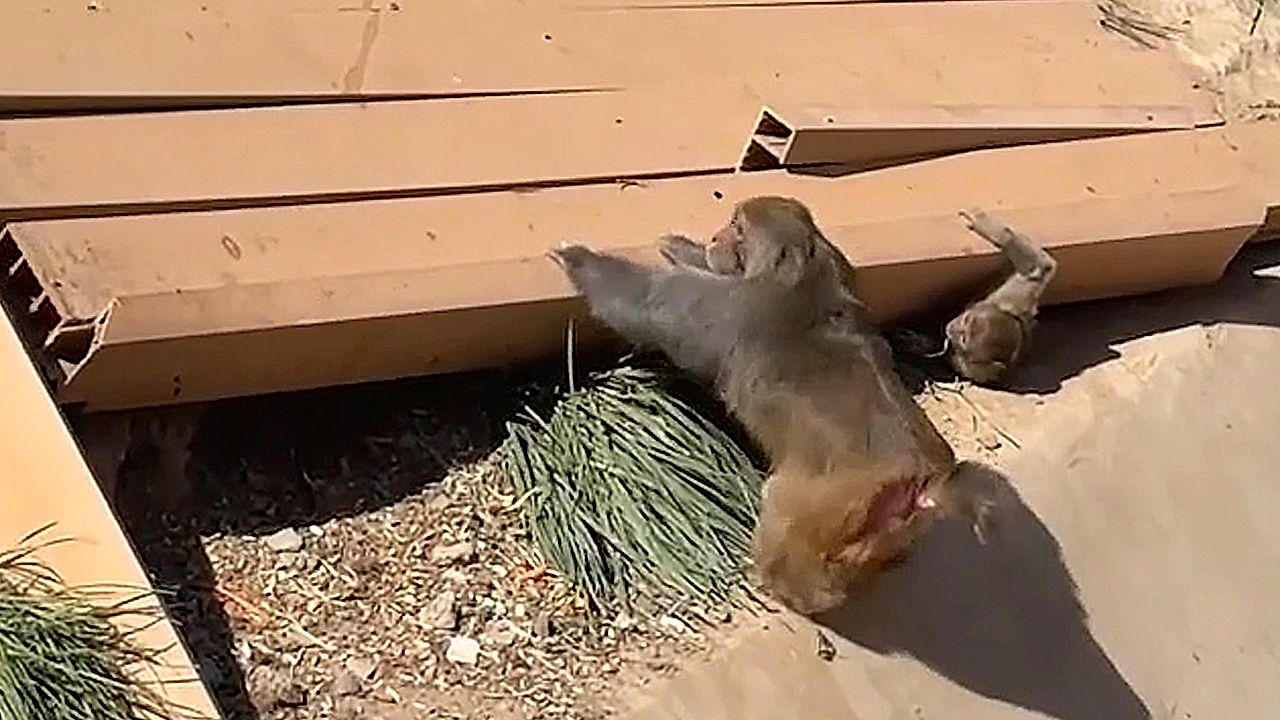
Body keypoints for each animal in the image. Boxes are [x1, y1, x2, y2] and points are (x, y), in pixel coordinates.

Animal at [550, 196, 977, 615]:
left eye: (736, 226)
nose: (715, 236)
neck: (805, 273)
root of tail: (921, 484)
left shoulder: (726, 306)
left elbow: (643, 302)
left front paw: (576, 257)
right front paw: (686, 248)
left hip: (823, 509)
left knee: (784, 523)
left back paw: (791, 591)